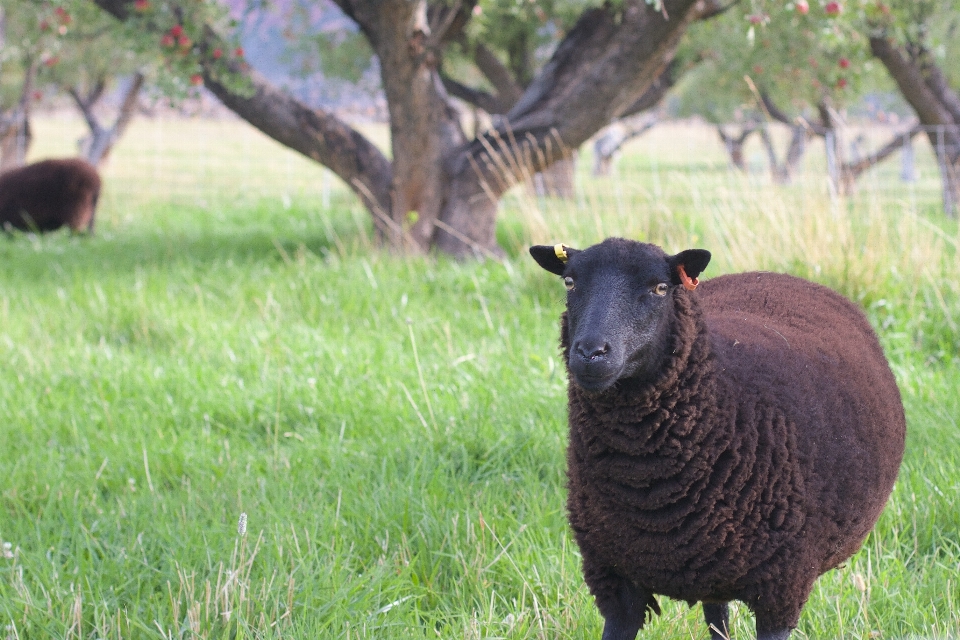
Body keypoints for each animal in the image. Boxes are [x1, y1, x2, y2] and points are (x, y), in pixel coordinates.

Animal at [528, 238, 904, 640]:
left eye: (660, 288)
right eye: (569, 282)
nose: (590, 353)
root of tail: (777, 275)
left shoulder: (782, 588)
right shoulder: (614, 580)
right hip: (710, 567)